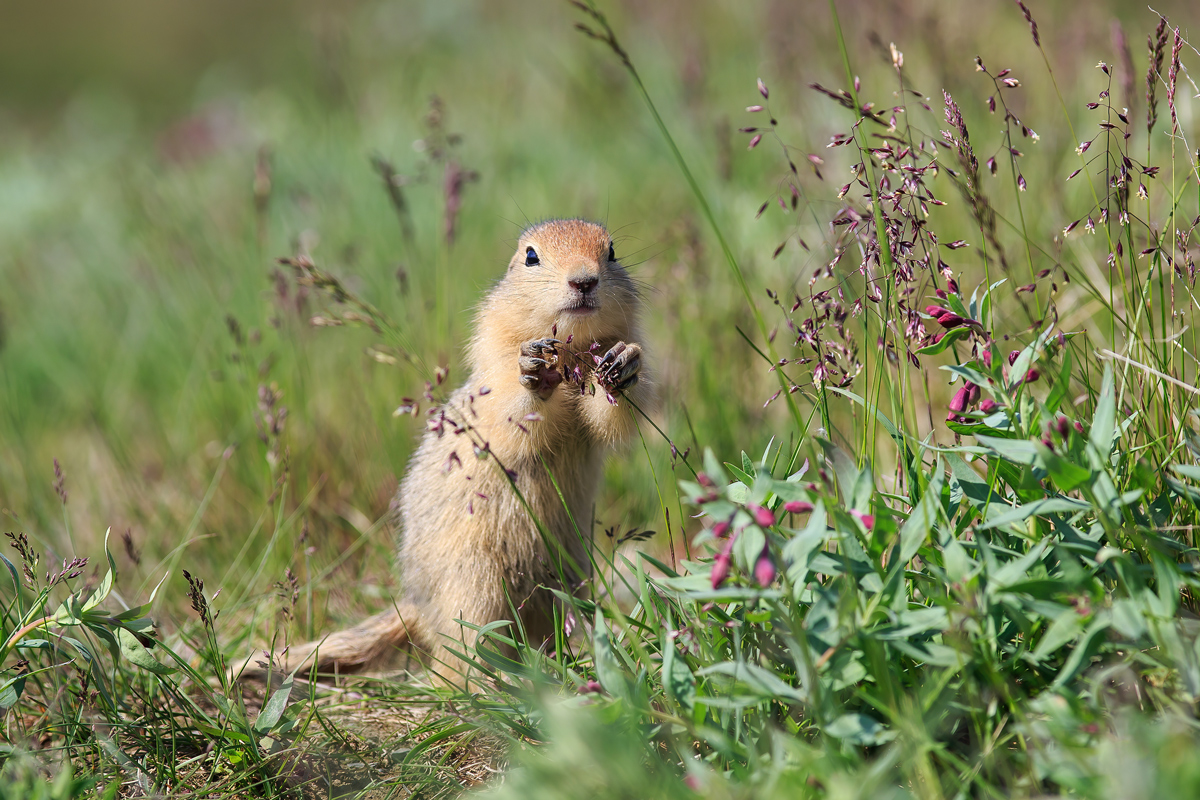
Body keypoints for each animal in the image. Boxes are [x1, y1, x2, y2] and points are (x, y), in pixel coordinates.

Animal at [239, 218, 652, 683]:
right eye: (531, 256)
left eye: (611, 251)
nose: (584, 280)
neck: (572, 352)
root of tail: (416, 606)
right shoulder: (492, 380)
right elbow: (509, 414)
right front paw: (534, 369)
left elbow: (610, 419)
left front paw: (623, 362)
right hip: (472, 584)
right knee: (454, 659)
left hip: (565, 584)